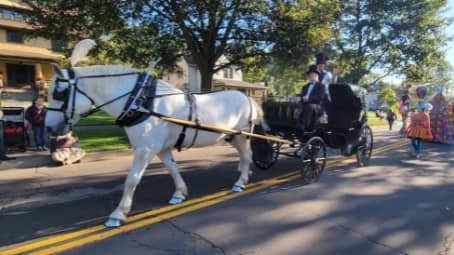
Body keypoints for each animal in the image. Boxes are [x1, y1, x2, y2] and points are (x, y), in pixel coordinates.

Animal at [45, 64, 260, 227]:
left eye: (59, 93)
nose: (48, 128)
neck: (140, 103)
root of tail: (247, 97)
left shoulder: (145, 149)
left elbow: (132, 180)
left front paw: (118, 214)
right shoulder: (161, 148)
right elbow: (173, 169)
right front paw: (179, 194)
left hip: (242, 136)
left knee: (247, 155)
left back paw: (240, 182)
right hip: (232, 137)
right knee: (244, 157)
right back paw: (244, 173)